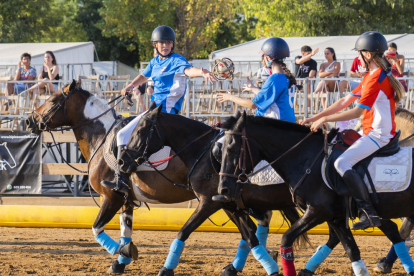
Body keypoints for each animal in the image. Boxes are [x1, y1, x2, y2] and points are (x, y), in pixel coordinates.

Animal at [119, 104, 310, 276]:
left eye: (140, 131)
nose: (122, 161)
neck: (203, 154)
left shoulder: (208, 203)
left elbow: (183, 231)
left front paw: (166, 269)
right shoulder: (229, 205)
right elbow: (250, 236)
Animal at [220, 111, 414, 274]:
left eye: (232, 149)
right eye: (220, 150)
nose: (223, 189)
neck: (307, 157)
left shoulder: (317, 211)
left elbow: (286, 239)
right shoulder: (336, 218)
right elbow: (352, 252)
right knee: (394, 230)